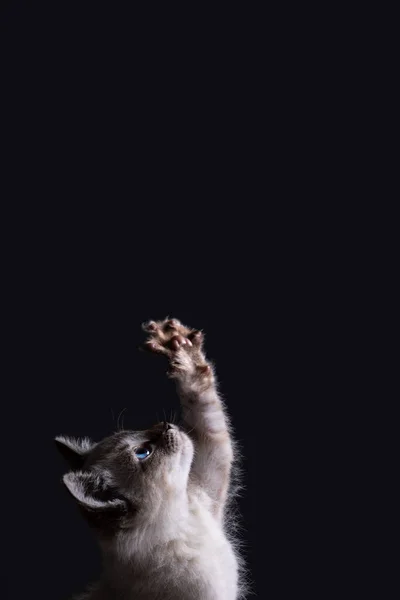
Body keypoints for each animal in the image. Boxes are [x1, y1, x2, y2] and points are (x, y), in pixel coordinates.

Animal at [55, 316, 244, 596]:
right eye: (143, 453)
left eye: (139, 432)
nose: (166, 425)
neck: (182, 519)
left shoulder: (211, 478)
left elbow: (206, 409)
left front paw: (180, 349)